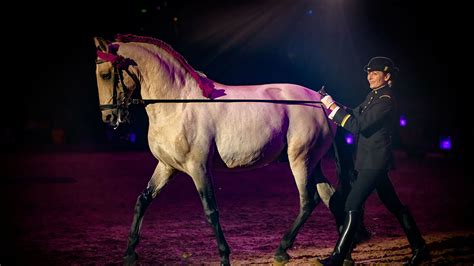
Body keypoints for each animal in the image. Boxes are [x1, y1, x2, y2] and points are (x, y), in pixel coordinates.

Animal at [92, 34, 336, 264]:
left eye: (105, 75)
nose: (108, 117)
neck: (179, 104)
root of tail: (320, 100)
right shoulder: (167, 166)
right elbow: (143, 200)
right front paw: (129, 254)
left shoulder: (198, 167)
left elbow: (210, 211)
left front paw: (224, 256)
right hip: (312, 162)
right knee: (329, 197)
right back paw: (336, 254)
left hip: (300, 160)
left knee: (308, 200)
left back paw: (281, 251)